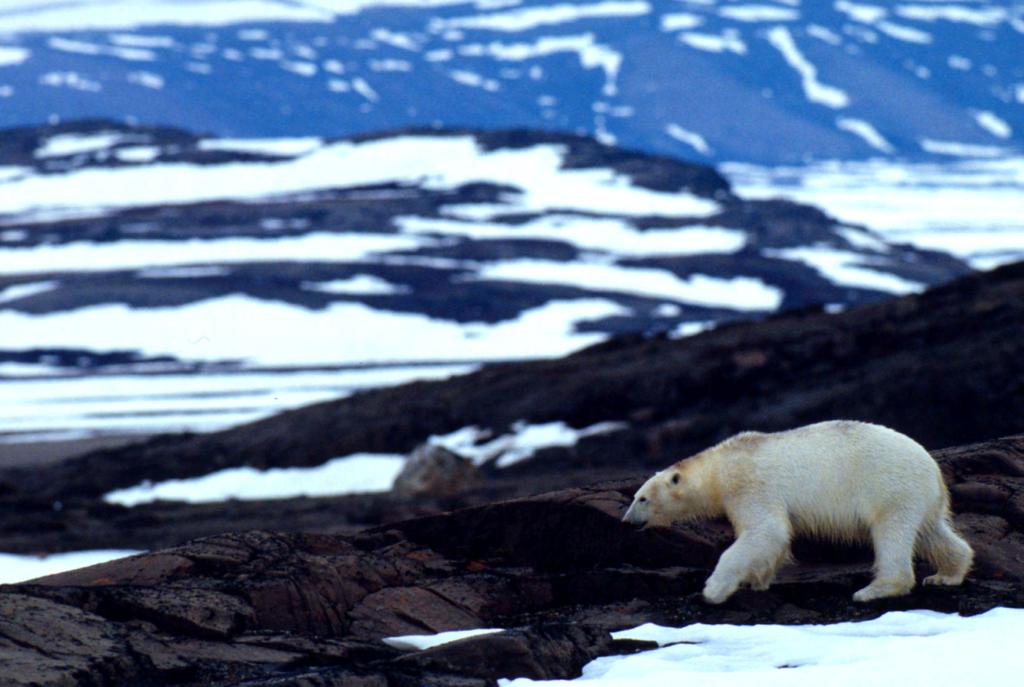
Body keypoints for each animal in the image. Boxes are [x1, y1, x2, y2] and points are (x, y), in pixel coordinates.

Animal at [618, 421, 970, 606]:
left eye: (642, 498)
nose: (626, 521)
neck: (721, 466)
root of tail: (933, 469)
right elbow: (771, 541)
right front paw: (756, 581)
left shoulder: (750, 486)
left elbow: (766, 531)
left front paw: (713, 589)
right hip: (920, 498)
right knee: (932, 533)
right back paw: (945, 574)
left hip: (891, 489)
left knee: (891, 534)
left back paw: (872, 590)